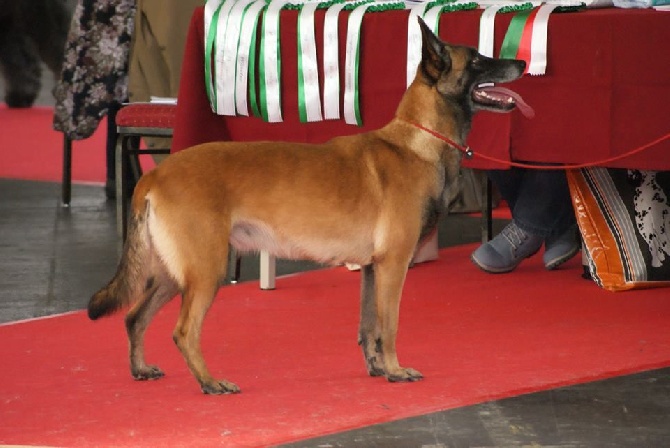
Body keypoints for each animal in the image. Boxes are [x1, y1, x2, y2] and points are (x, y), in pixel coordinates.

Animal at [89, 19, 532, 394]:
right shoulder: (393, 266)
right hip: (205, 270)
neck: (417, 141)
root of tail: (154, 176)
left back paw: (141, 369)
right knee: (183, 331)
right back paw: (211, 382)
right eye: (477, 59)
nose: (523, 61)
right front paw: (396, 370)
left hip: (174, 273)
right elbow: (388, 325)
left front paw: (377, 369)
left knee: (134, 317)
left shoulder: (371, 269)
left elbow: (367, 327)